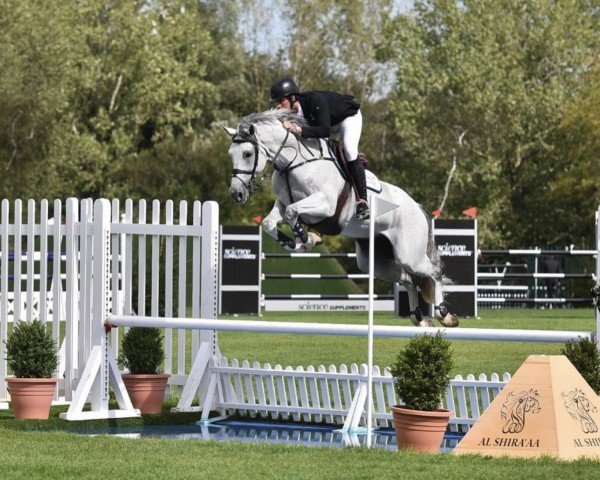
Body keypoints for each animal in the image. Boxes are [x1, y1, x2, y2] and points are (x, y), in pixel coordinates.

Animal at [225, 109, 460, 326]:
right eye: (230, 154)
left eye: (247, 154)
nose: (236, 194)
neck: (293, 163)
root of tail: (417, 208)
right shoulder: (282, 205)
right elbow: (270, 222)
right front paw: (299, 242)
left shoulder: (325, 204)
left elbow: (293, 212)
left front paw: (306, 238)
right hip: (374, 262)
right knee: (409, 279)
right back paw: (419, 319)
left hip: (409, 254)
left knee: (433, 272)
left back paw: (445, 315)